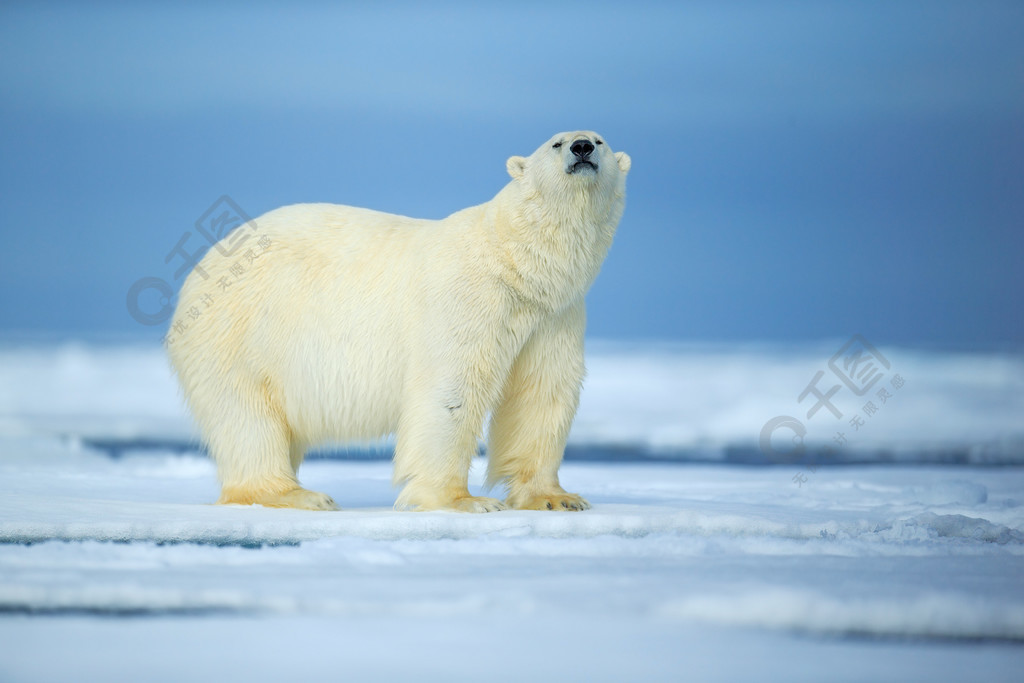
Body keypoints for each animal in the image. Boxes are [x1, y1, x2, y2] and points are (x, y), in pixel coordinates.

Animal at [167, 131, 626, 509]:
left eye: (600, 140)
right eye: (556, 142)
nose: (582, 147)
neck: (515, 260)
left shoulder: (555, 315)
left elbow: (542, 392)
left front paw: (556, 498)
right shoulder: (466, 298)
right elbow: (451, 388)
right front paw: (463, 501)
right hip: (241, 333)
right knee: (247, 418)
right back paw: (296, 495)